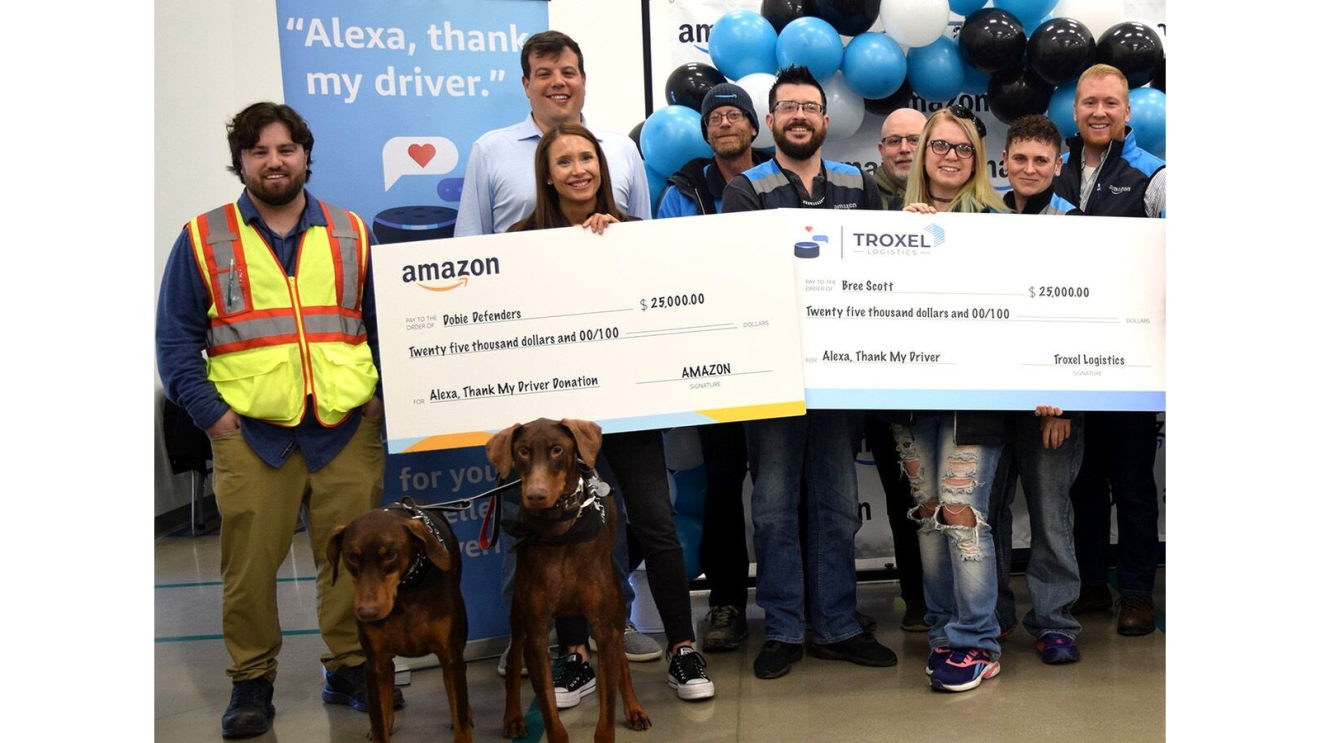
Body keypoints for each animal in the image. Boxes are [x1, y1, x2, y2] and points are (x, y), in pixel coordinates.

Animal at [326, 498, 475, 743]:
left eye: (390, 554)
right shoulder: (375, 663)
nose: (367, 612)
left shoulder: (451, 655)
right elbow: (378, 722)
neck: (407, 590)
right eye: (352, 556)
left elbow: (461, 719)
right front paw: (381, 726)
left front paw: (462, 719)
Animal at [485, 419, 649, 743]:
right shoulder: (536, 635)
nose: (535, 495)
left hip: (615, 608)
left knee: (621, 662)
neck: (559, 530)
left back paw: (634, 709)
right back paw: (513, 718)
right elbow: (548, 708)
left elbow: (607, 710)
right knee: (513, 661)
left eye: (557, 450)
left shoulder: (604, 626)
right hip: (519, 615)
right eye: (522, 451)